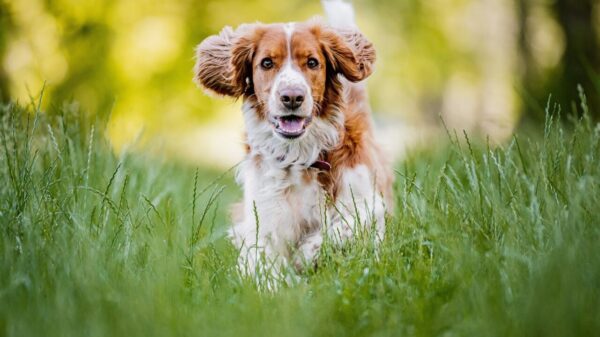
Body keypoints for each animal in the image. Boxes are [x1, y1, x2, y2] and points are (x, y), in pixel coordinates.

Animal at [193, 0, 394, 280]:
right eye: (267, 63)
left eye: (312, 62)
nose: (292, 96)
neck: (299, 154)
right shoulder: (262, 220)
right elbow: (264, 266)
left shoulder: (367, 199)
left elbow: (345, 227)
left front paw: (306, 255)